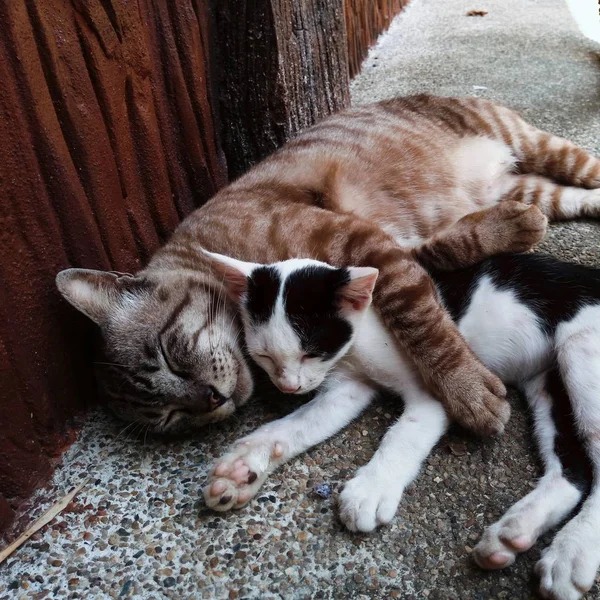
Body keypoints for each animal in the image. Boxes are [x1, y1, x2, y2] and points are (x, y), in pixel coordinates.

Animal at [203, 250, 600, 600]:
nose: (289, 387)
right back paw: (515, 532)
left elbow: (402, 436)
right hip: (548, 380)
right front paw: (244, 466)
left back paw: (571, 553)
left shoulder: (435, 392)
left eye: (311, 351)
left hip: (581, 353)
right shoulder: (345, 388)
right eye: (264, 357)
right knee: (574, 473)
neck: (360, 336)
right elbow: (297, 426)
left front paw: (372, 489)